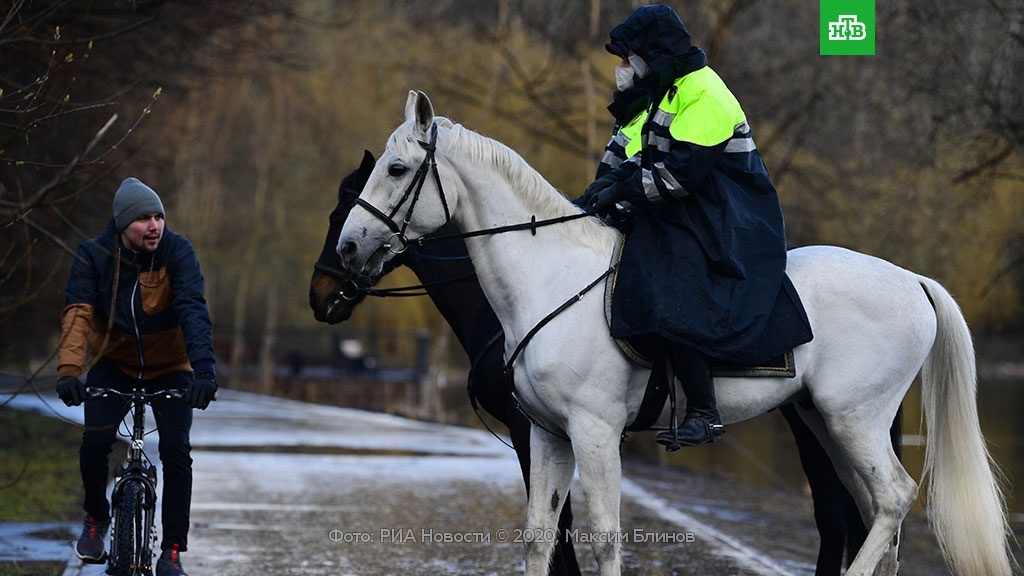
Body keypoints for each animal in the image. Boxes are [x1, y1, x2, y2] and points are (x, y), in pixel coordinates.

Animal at [339, 90, 1011, 573]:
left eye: (396, 169)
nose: (347, 251)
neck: (550, 278)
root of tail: (911, 279)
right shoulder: (548, 434)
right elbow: (540, 537)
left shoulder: (594, 433)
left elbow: (603, 538)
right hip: (824, 422)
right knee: (873, 512)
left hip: (854, 419)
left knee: (892, 500)